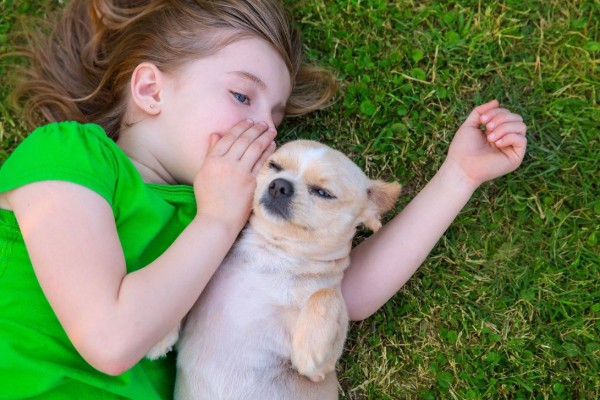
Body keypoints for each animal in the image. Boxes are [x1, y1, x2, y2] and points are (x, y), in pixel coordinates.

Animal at [149, 139, 404, 398]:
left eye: (323, 193)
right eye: (274, 166)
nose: (280, 185)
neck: (274, 254)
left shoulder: (323, 368)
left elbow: (326, 293)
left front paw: (310, 348)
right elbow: (184, 289)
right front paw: (160, 334)